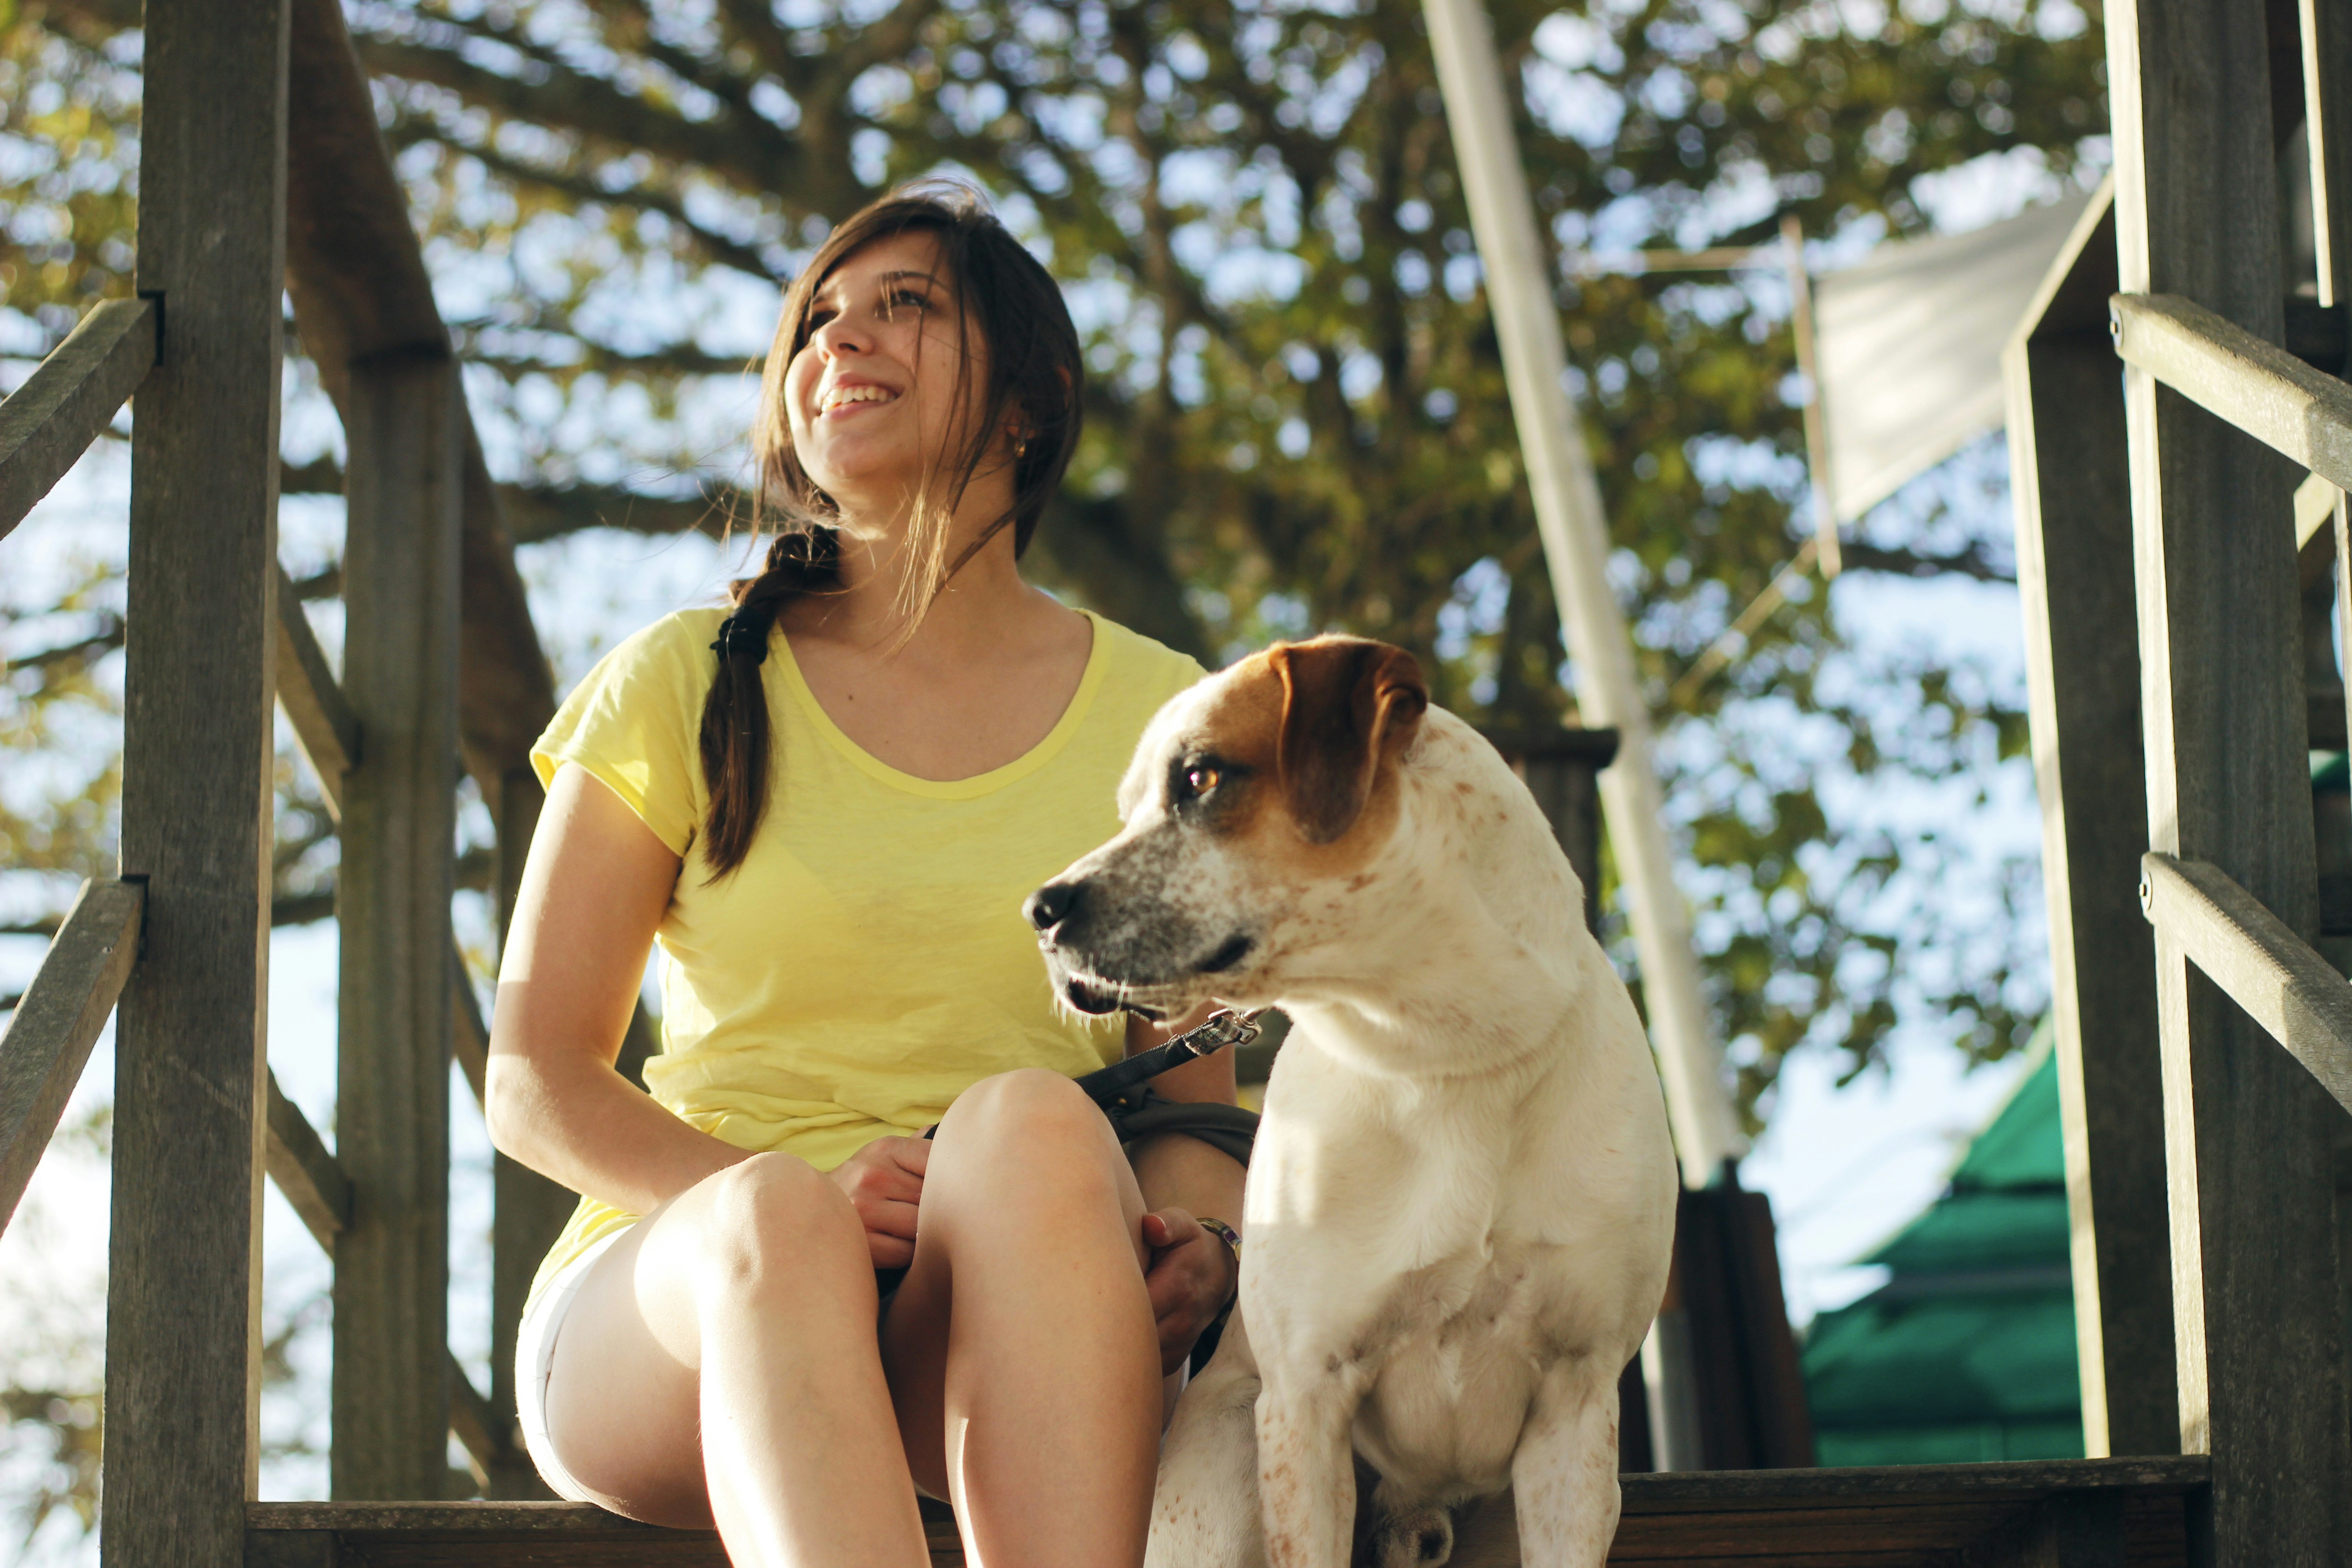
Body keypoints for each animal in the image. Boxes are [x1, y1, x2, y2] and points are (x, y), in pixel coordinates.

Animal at [1025, 634, 1675, 1568]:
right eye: (1129, 808)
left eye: (1199, 778)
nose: (1039, 910)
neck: (1441, 1057)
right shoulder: (1305, 1403)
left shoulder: (1575, 1411)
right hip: (1222, 1478)